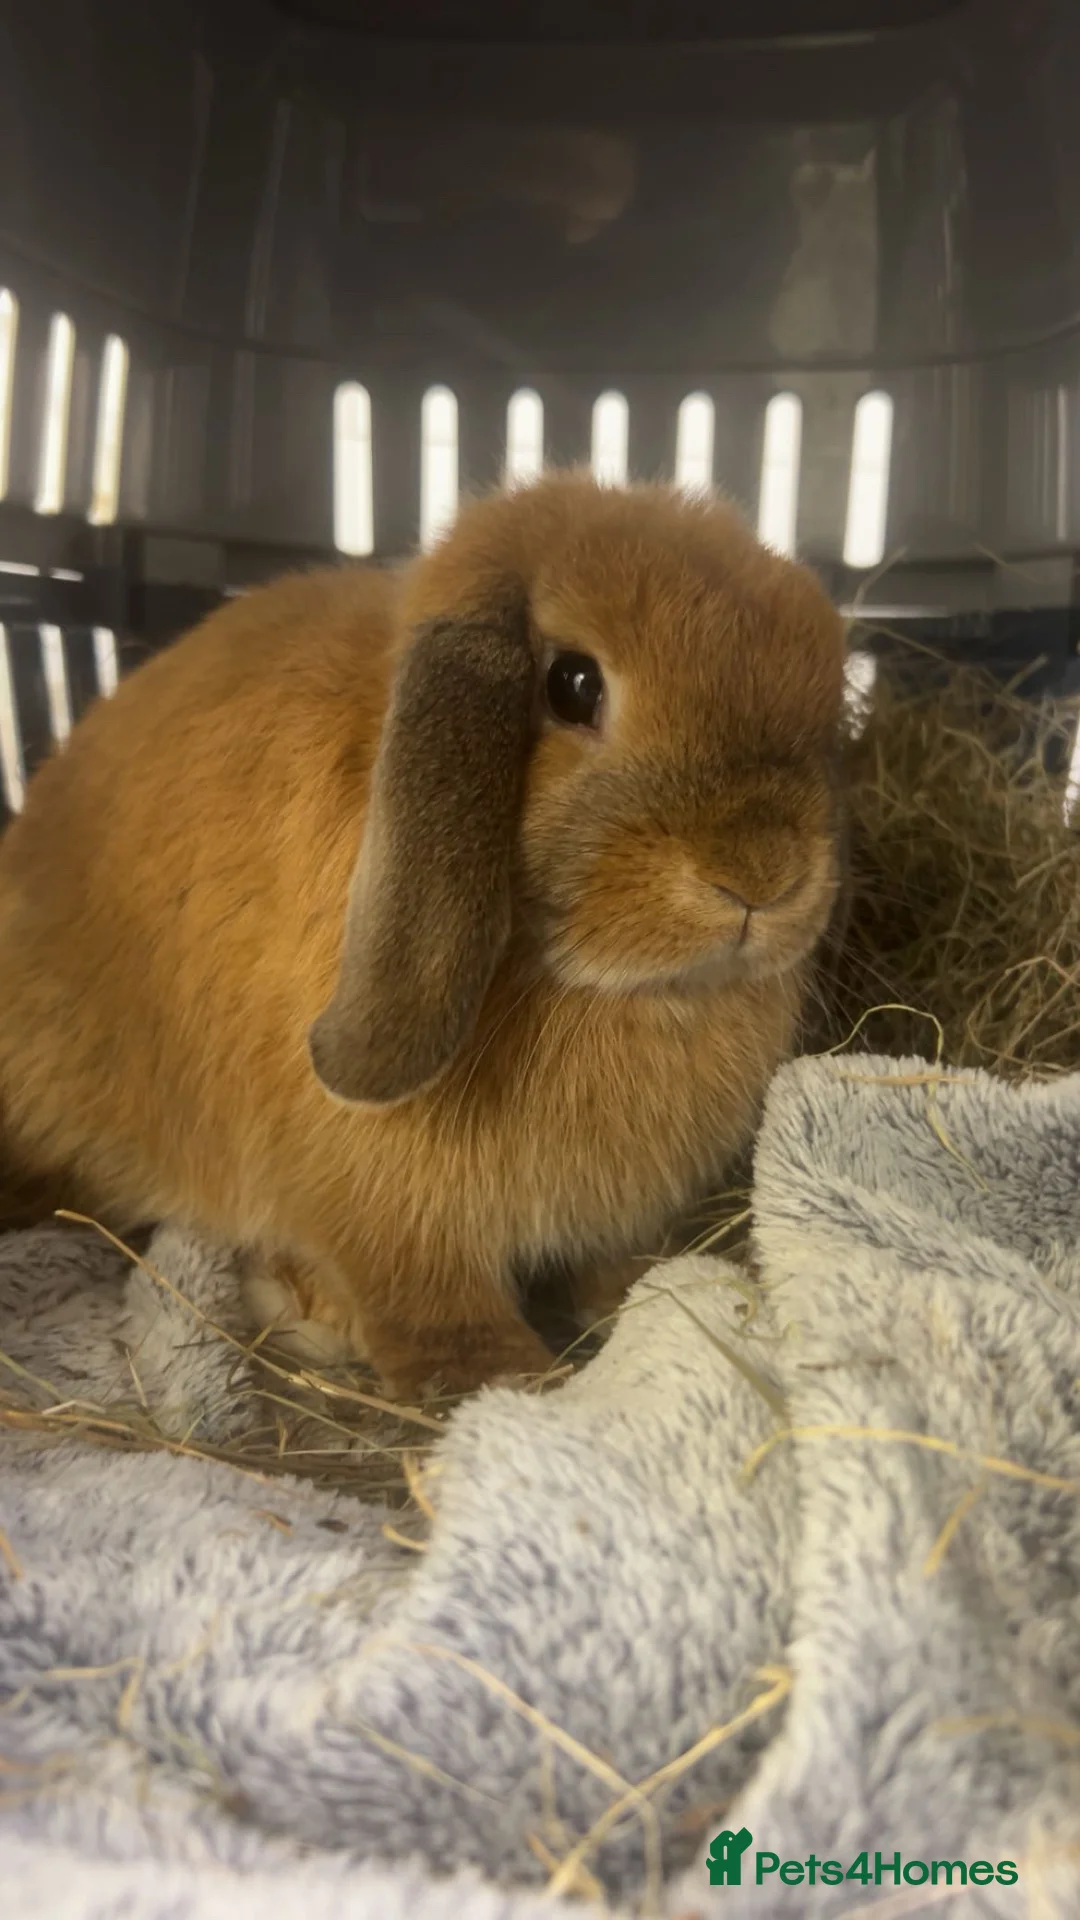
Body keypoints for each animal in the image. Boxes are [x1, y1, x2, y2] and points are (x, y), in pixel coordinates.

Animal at [0, 472, 847, 1400]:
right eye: (573, 684)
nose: (762, 876)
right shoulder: (388, 1215)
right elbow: (423, 1295)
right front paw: (496, 1380)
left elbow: (613, 1264)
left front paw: (642, 1295)